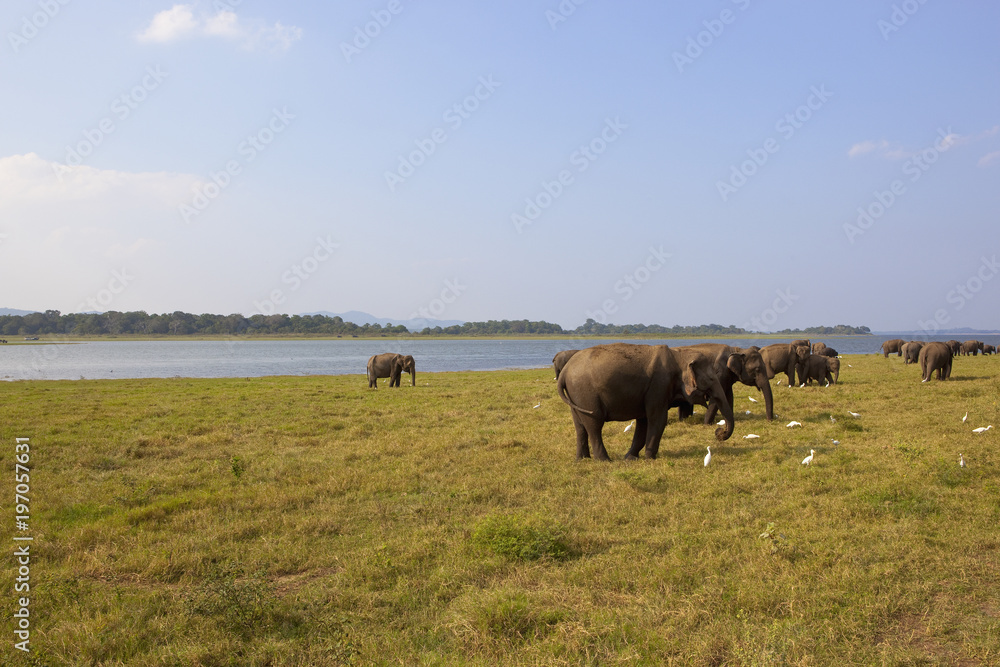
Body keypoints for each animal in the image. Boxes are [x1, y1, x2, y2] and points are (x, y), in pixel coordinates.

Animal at [556, 344, 736, 460]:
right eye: (711, 379)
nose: (718, 432)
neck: (679, 354)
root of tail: (564, 372)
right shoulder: (659, 386)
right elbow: (657, 420)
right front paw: (650, 458)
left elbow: (643, 422)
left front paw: (630, 458)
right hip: (586, 395)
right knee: (594, 425)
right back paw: (604, 460)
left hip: (576, 396)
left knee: (580, 426)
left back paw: (582, 459)